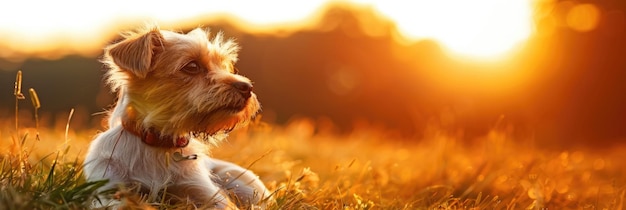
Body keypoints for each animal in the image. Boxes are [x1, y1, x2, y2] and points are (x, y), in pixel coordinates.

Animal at [82, 25, 268, 208]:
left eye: (223, 65)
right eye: (192, 66)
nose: (247, 87)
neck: (159, 143)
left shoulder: (206, 193)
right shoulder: (110, 190)